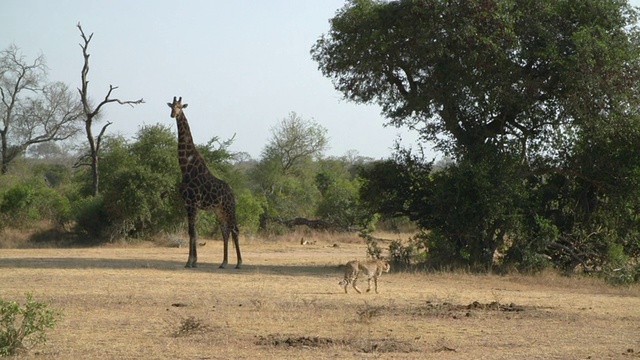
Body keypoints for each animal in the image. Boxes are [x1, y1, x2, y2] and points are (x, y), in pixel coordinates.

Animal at [168, 97, 242, 268]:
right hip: (219, 211)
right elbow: (192, 231)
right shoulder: (187, 203)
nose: (173, 114)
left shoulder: (193, 203)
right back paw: (223, 263)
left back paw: (239, 263)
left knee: (235, 230)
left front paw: (190, 261)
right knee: (225, 231)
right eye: (171, 106)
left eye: (180, 107)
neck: (186, 167)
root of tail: (232, 193)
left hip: (229, 208)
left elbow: (192, 231)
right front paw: (193, 261)